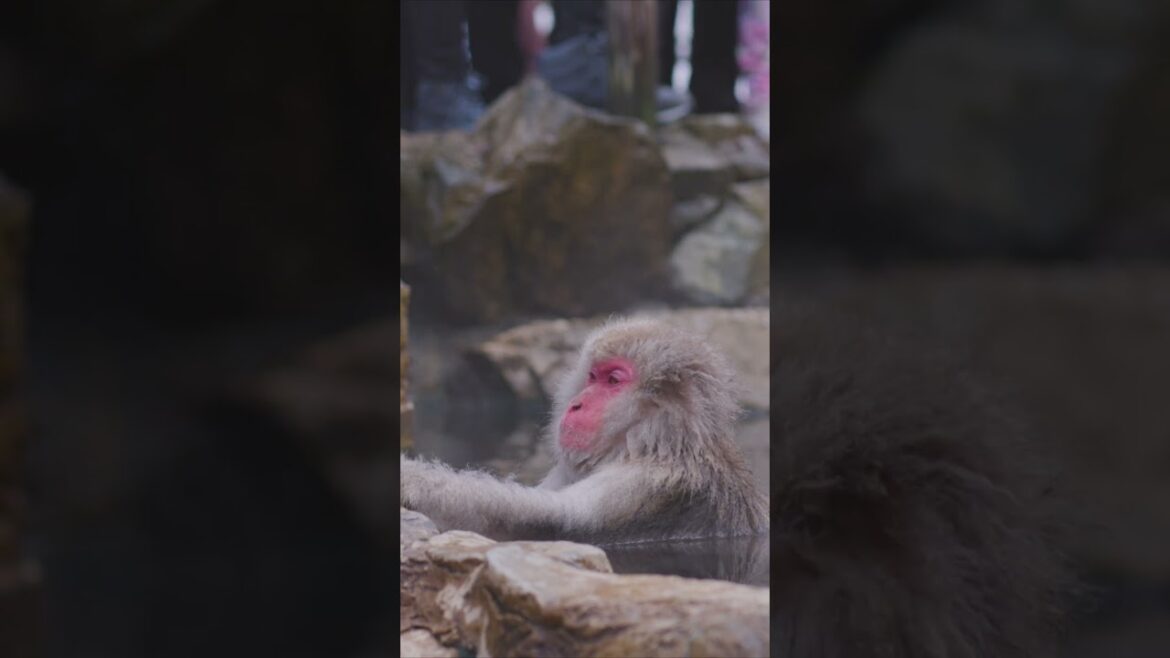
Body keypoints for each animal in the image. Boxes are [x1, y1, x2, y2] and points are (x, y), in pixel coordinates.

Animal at [400, 316, 769, 544]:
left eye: (613, 380)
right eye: (592, 376)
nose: (576, 404)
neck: (658, 443)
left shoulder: (646, 485)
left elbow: (546, 520)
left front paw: (413, 481)